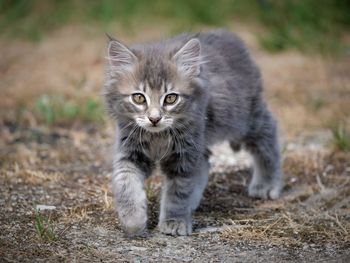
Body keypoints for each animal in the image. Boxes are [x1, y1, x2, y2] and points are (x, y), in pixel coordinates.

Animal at [102, 29, 284, 237]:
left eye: (171, 98)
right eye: (139, 98)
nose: (154, 119)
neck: (158, 136)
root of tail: (228, 35)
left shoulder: (184, 157)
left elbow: (177, 193)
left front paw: (174, 221)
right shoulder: (130, 151)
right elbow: (126, 183)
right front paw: (133, 220)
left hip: (244, 119)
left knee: (268, 132)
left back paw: (267, 184)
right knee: (204, 162)